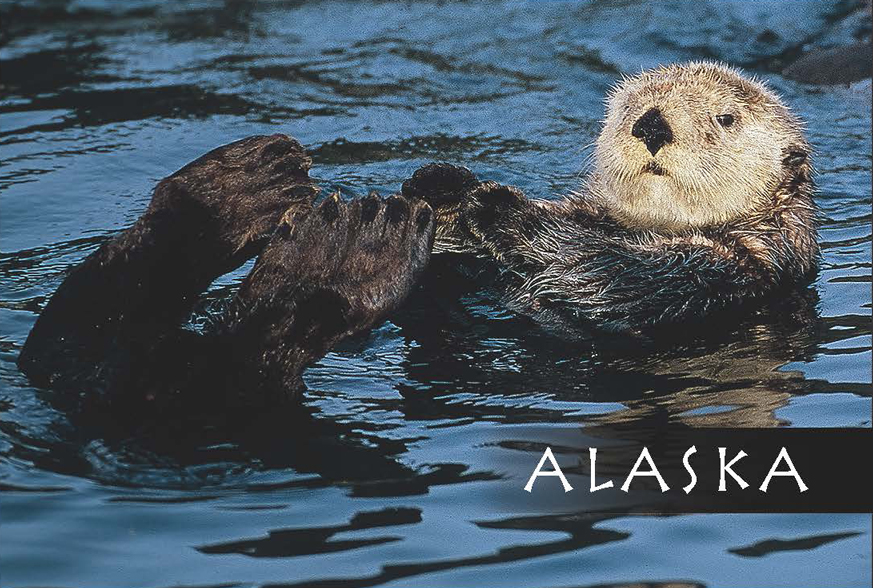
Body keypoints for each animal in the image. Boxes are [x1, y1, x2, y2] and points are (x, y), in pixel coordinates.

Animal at [17, 61, 818, 407]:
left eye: (725, 118)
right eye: (630, 104)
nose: (650, 124)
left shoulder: (728, 271)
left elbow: (607, 272)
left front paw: (499, 207)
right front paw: (442, 186)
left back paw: (343, 255)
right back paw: (241, 192)